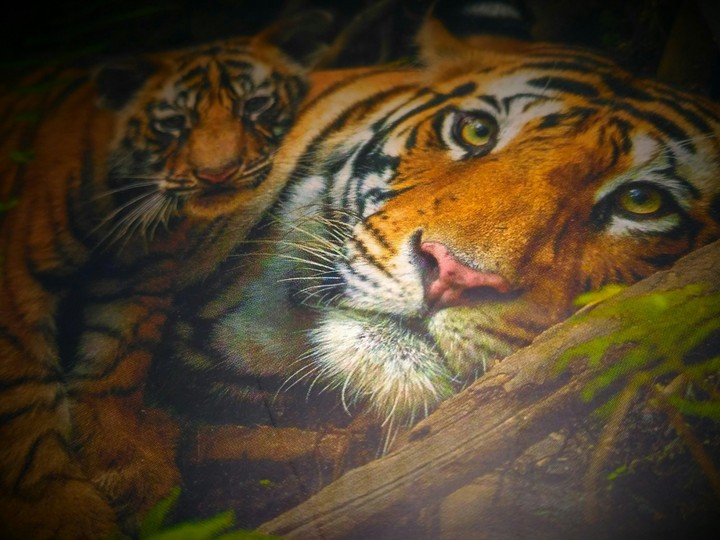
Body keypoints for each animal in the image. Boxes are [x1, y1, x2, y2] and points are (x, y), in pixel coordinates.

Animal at [0, 18, 320, 538]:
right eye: (173, 123)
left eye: (255, 105)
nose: (218, 175)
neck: (124, 205)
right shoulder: (18, 294)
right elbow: (24, 402)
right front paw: (62, 512)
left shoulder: (139, 281)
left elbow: (116, 370)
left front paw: (133, 472)